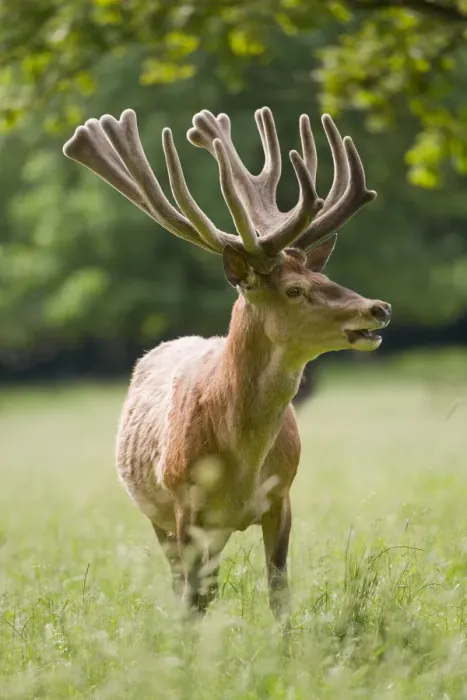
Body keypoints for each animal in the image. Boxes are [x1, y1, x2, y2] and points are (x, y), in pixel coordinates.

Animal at [63, 105, 391, 625]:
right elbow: (192, 601)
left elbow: (278, 592)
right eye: (294, 289)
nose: (379, 308)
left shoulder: (281, 498)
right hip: (159, 517)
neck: (241, 464)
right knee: (185, 587)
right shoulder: (184, 507)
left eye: (324, 275)